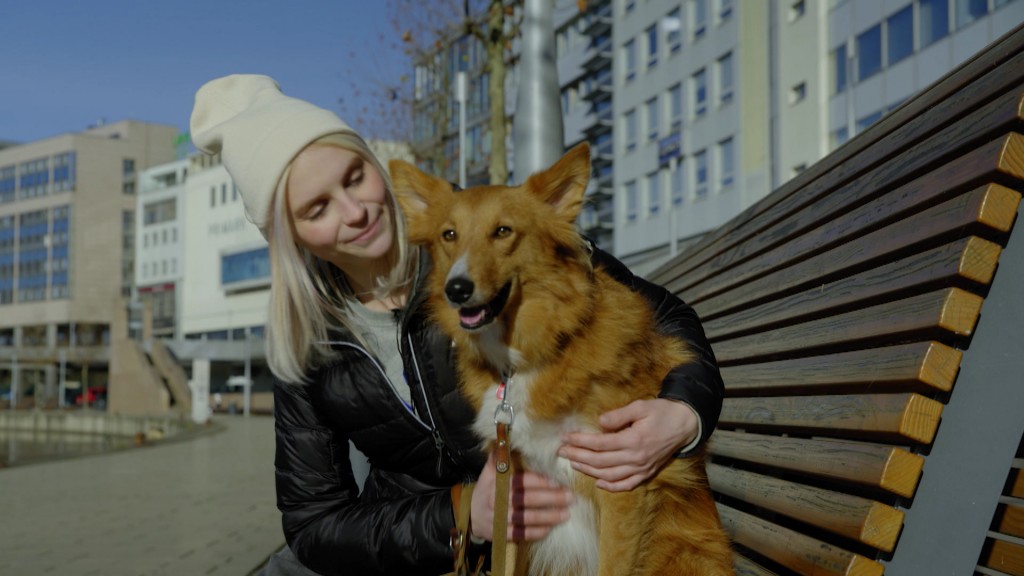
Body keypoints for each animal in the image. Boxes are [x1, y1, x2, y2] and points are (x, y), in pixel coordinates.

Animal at [387, 141, 733, 569]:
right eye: (448, 235)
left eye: (503, 231)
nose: (457, 289)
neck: (528, 357)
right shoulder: (516, 488)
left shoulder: (620, 485)